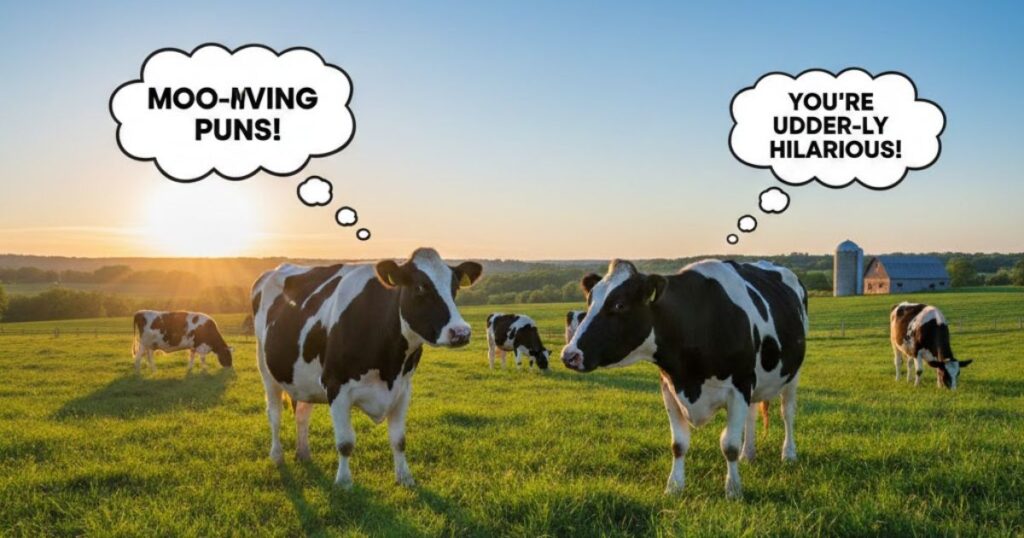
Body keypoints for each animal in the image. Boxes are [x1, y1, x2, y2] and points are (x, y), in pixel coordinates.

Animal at [251, 248, 482, 488]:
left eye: (455, 287)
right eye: (420, 287)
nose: (461, 332)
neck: (389, 364)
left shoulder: (403, 388)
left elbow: (399, 440)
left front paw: (405, 477)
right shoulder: (336, 386)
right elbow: (345, 442)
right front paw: (344, 482)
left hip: (303, 378)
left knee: (302, 414)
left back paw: (303, 453)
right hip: (266, 369)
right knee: (274, 414)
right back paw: (277, 456)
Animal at [561, 259, 807, 498]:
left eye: (619, 305)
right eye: (590, 301)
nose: (569, 355)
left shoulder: (740, 386)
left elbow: (729, 445)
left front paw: (733, 490)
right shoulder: (670, 387)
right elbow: (678, 444)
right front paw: (674, 487)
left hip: (792, 375)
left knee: (787, 413)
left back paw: (789, 454)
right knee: (752, 415)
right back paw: (748, 454)